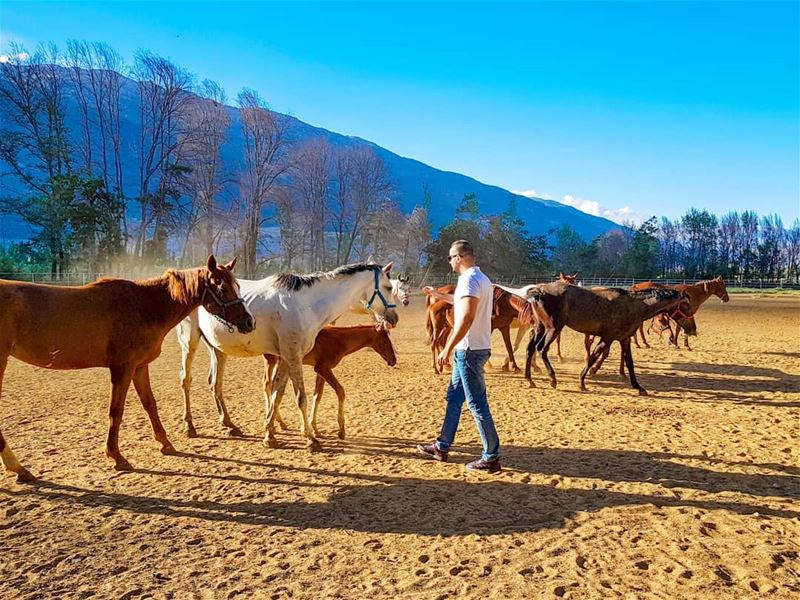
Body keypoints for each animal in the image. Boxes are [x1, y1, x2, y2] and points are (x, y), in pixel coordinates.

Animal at [0, 255, 253, 480]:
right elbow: (116, 411)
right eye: (223, 289)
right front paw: (116, 456)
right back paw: (18, 467)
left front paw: (165, 443)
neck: (142, 306)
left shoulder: (139, 367)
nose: (249, 322)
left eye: (237, 286)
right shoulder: (123, 368)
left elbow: (150, 404)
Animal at [266, 326, 396, 438]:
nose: (393, 360)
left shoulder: (320, 371)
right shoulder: (323, 368)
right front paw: (341, 431)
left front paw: (314, 429)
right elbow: (340, 391)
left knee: (272, 387)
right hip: (274, 361)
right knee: (269, 386)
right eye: (385, 339)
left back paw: (277, 424)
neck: (338, 339)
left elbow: (317, 396)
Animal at [500, 284, 692, 396]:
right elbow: (592, 357)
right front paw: (582, 382)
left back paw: (530, 380)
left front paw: (638, 387)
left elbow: (629, 363)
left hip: (540, 327)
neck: (632, 306)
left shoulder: (624, 339)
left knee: (530, 348)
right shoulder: (607, 338)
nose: (691, 329)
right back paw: (552, 379)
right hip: (553, 328)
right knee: (542, 349)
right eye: (685, 304)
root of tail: (538, 291)